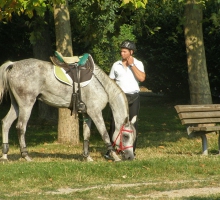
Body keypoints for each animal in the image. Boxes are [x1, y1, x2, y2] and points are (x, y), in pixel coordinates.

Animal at [0, 58, 137, 162]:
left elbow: (86, 135)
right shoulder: (96, 113)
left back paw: (5, 155)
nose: (130, 157)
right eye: (125, 136)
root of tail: (13, 64)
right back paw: (26, 155)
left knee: (6, 123)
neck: (101, 85)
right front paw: (114, 156)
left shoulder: (87, 114)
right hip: (26, 104)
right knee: (21, 127)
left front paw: (87, 157)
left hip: (16, 106)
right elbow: (105, 134)